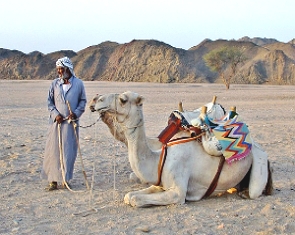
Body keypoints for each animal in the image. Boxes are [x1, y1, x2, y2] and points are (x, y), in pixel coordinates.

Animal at [89, 91, 272, 207]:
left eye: (123, 99)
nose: (95, 99)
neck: (158, 157)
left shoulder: (177, 192)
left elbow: (135, 200)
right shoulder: (160, 184)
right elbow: (130, 196)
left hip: (259, 161)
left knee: (254, 191)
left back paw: (245, 193)